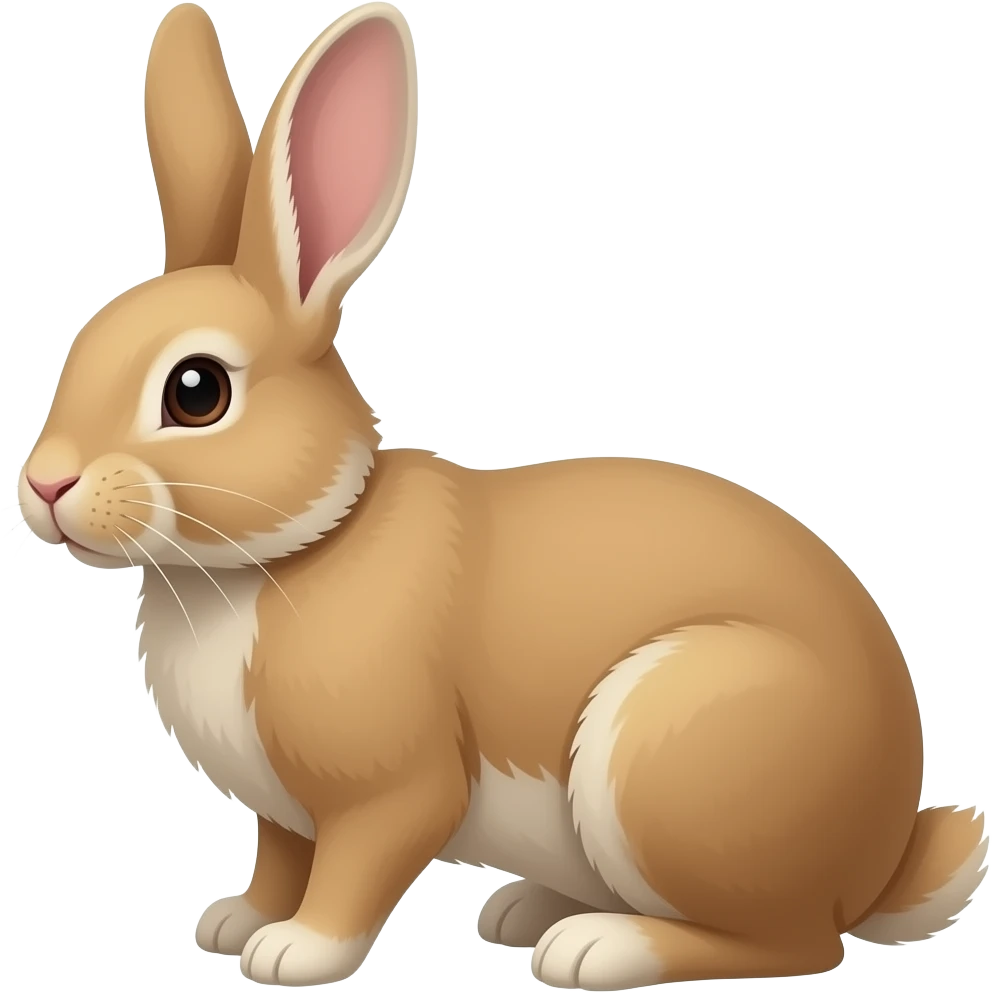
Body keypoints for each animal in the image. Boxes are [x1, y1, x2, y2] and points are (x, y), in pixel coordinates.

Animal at [15, 2, 988, 989]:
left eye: (196, 391)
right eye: (81, 343)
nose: (45, 483)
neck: (294, 548)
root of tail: (882, 854)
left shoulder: (391, 789)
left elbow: (356, 867)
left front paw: (294, 950)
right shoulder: (285, 812)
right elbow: (280, 857)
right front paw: (234, 920)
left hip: (668, 752)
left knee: (790, 942)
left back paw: (595, 945)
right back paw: (529, 909)